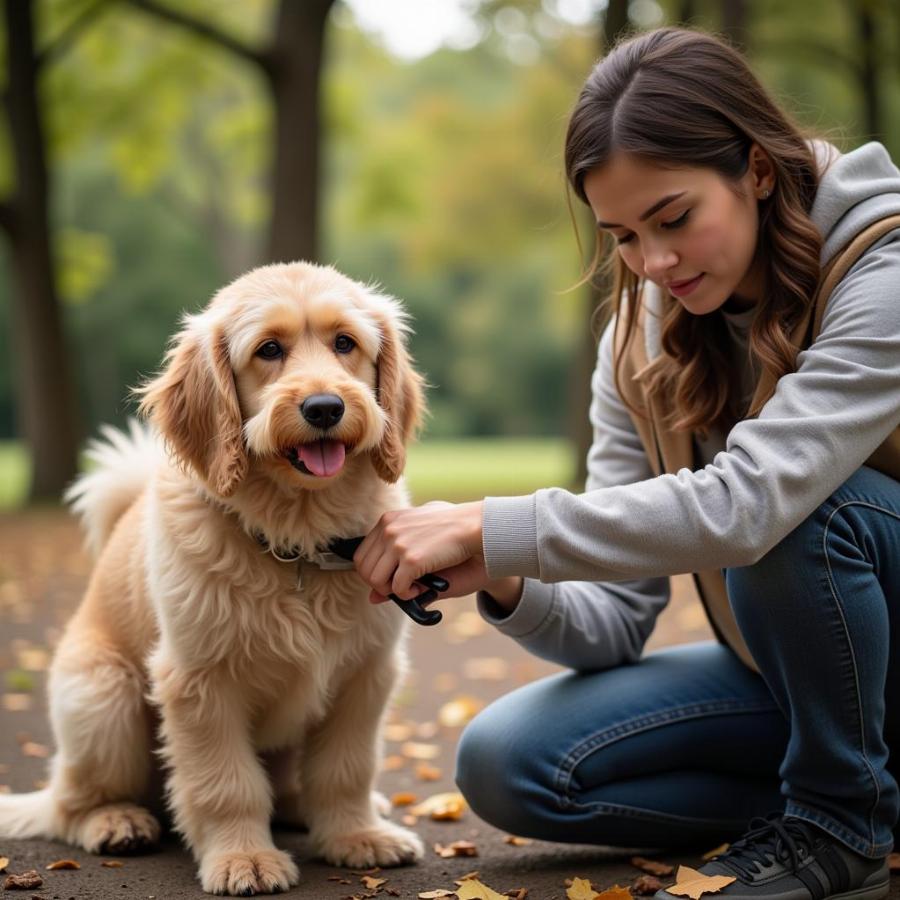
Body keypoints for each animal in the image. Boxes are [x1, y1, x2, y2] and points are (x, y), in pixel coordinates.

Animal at [0, 260, 428, 892]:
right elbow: (226, 783)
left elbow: (346, 769)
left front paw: (356, 836)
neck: (297, 546)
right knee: (69, 804)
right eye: (268, 349)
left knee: (293, 787)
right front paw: (243, 857)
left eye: (345, 343)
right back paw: (115, 821)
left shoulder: (366, 675)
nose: (325, 408)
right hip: (104, 701)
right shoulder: (201, 683)